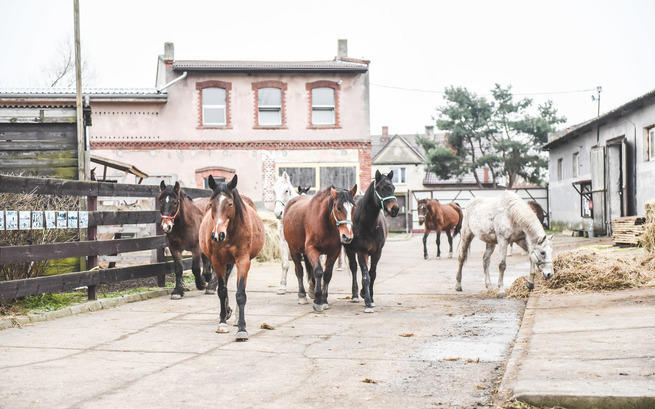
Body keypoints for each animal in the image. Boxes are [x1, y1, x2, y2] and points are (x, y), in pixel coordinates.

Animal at [199, 174, 266, 340]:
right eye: (211, 204)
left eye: (229, 204)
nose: (217, 235)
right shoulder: (217, 261)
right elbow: (222, 291)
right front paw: (222, 322)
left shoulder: (243, 261)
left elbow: (240, 293)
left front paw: (242, 328)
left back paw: (235, 317)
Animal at [344, 171, 400, 310]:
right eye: (381, 188)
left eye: (393, 188)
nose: (395, 209)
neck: (368, 223)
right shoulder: (361, 252)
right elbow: (365, 276)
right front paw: (367, 301)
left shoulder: (377, 252)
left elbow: (372, 274)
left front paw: (369, 295)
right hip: (349, 249)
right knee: (353, 268)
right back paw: (354, 295)